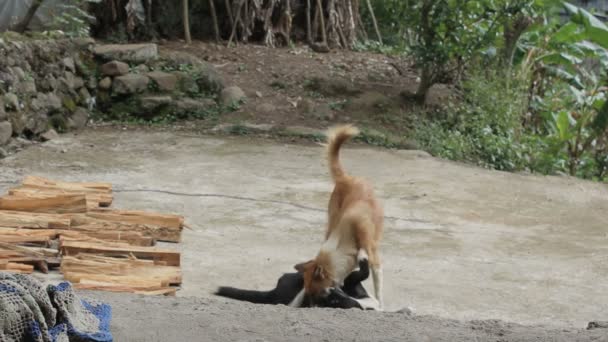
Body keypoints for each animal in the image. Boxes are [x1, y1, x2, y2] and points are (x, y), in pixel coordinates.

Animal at [215, 260, 380, 310]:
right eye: (332, 298)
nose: (330, 289)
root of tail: (274, 292)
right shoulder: (350, 290)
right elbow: (359, 274)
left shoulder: (353, 290)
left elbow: (357, 276)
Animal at [290, 124, 384, 308]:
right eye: (308, 291)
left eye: (316, 293)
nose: (309, 307)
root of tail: (346, 178)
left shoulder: (374, 259)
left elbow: (377, 285)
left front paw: (380, 302)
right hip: (331, 219)